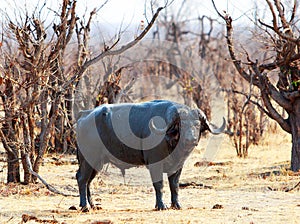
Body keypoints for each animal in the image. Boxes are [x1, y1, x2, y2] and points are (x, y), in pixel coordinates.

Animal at [75, 100, 225, 212]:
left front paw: (176, 205)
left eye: (197, 125)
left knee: (88, 181)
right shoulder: (155, 164)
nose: (191, 139)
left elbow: (174, 186)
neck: (170, 141)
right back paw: (85, 206)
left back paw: (93, 205)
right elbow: (159, 185)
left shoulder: (177, 167)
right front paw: (161, 205)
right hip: (88, 159)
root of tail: (84, 115)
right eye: (182, 125)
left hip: (97, 163)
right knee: (82, 179)